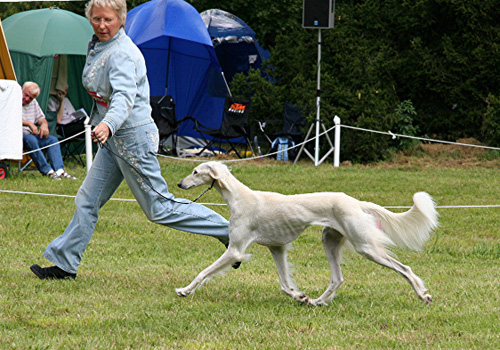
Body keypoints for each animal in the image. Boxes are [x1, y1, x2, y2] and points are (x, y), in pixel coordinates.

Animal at [175, 162, 438, 306]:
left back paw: (423, 295)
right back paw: (318, 301)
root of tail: (356, 202)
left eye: (195, 172)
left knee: (405, 268)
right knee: (337, 278)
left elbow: (203, 272)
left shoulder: (236, 250)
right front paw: (299, 296)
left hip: (366, 246)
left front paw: (184, 290)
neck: (240, 198)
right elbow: (284, 284)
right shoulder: (277, 248)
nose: (179, 184)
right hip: (329, 240)